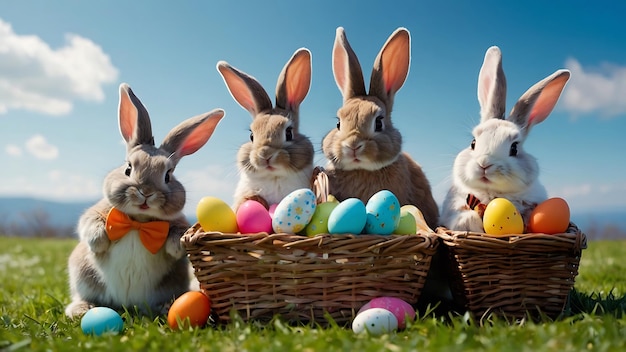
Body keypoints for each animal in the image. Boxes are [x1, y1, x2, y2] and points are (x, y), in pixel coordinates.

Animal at [62, 83, 224, 320]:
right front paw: (99, 242)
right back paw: (82, 310)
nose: (146, 192)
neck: (138, 220)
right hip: (82, 274)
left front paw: (174, 247)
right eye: (128, 168)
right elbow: (90, 222)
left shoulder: (180, 223)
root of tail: (128, 304)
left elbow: (178, 233)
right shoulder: (96, 213)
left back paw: (166, 307)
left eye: (168, 176)